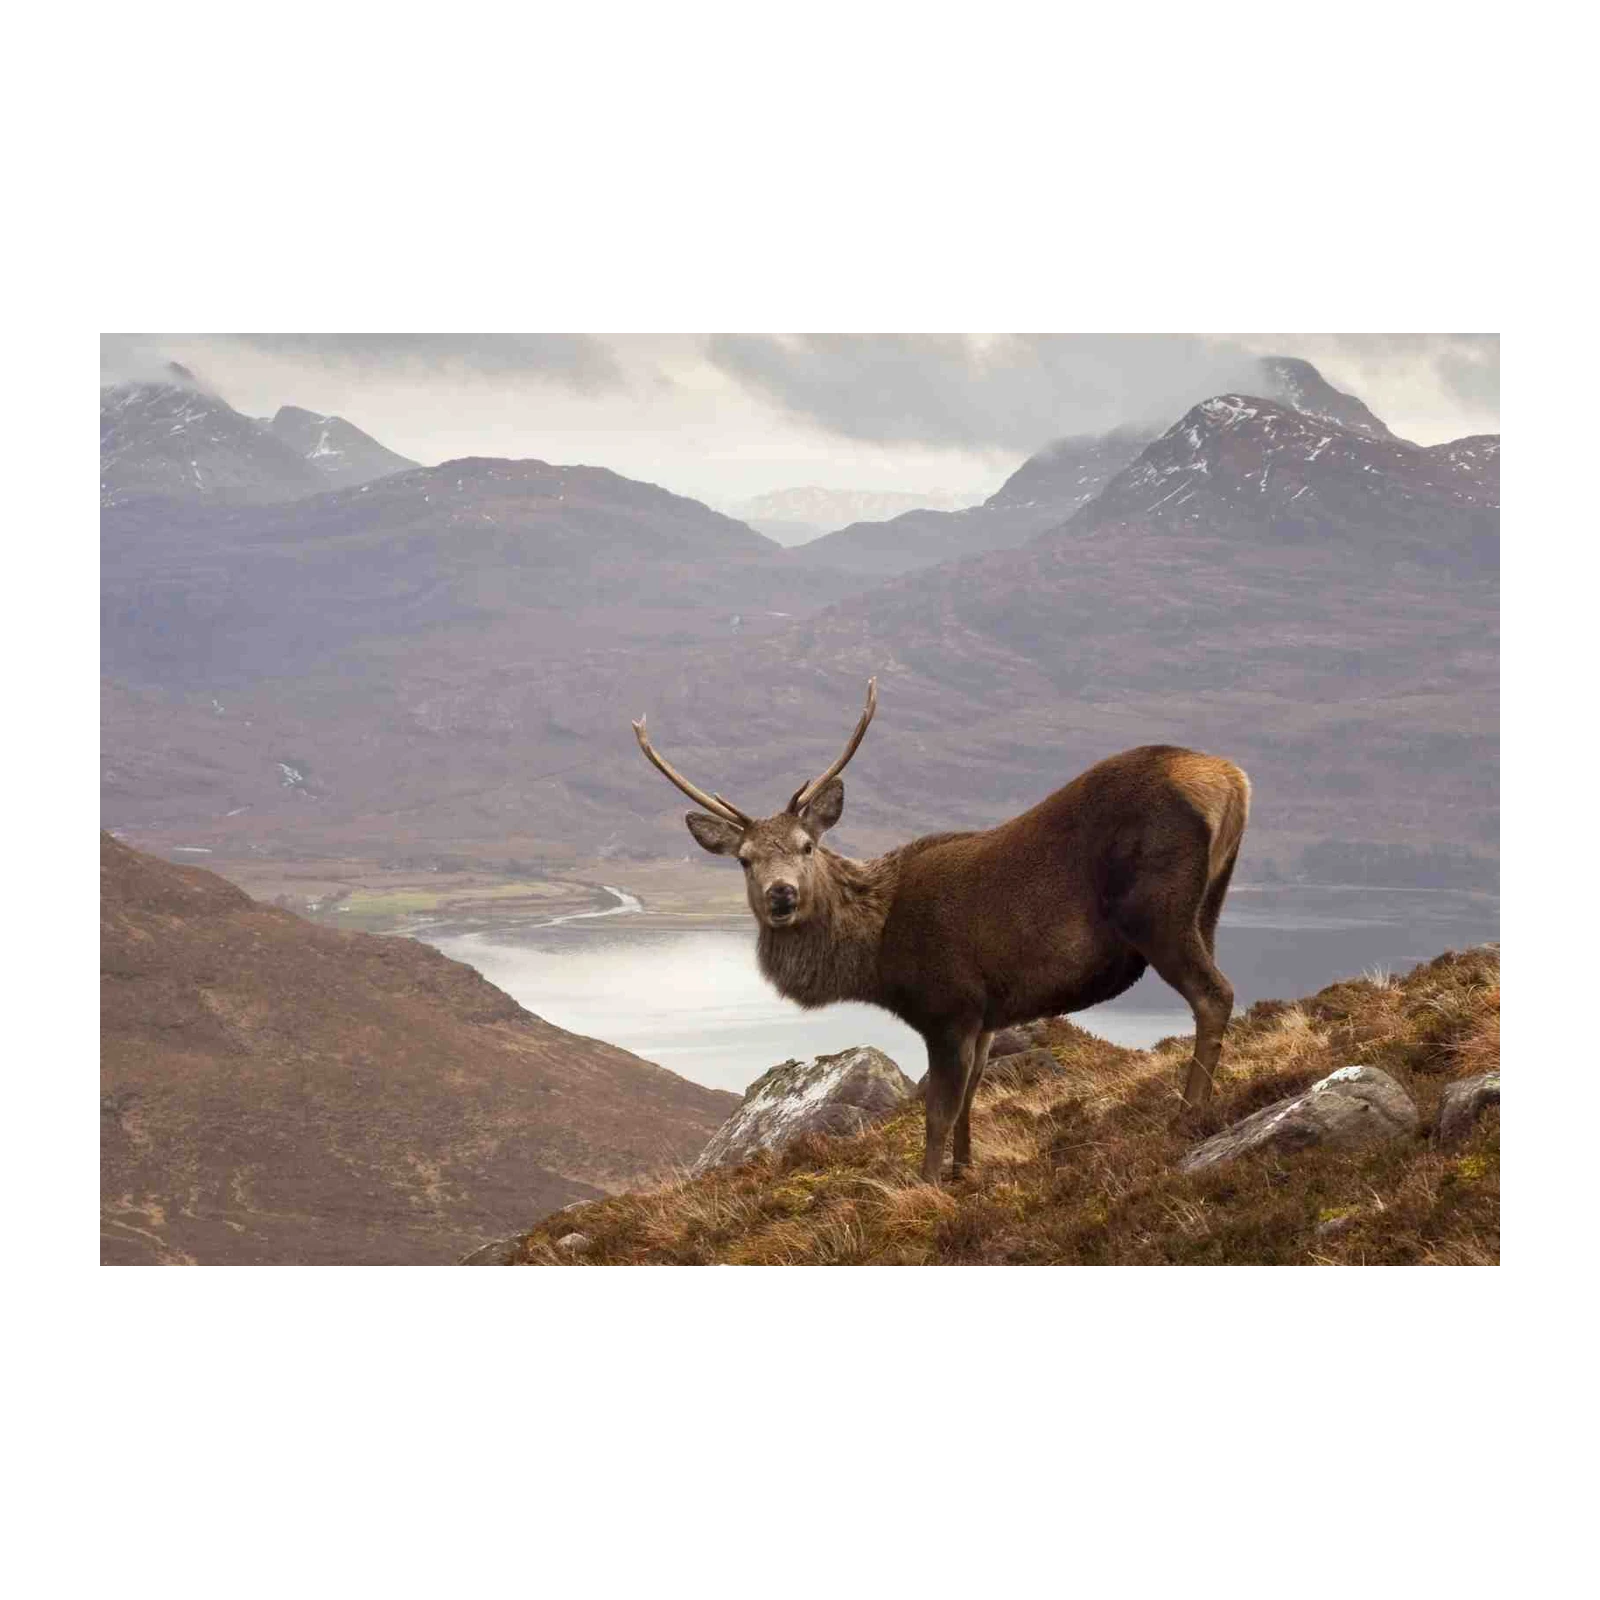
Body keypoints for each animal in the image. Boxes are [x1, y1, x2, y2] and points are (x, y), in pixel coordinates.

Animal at [633, 679, 1250, 1185]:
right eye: (744, 860)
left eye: (807, 847)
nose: (780, 895)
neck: (876, 958)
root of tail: (1232, 781)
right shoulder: (987, 1012)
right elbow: (973, 1095)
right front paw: (964, 1169)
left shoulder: (947, 1005)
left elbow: (938, 1110)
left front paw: (927, 1182)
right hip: (1210, 907)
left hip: (1157, 910)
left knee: (1214, 994)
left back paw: (1187, 1115)